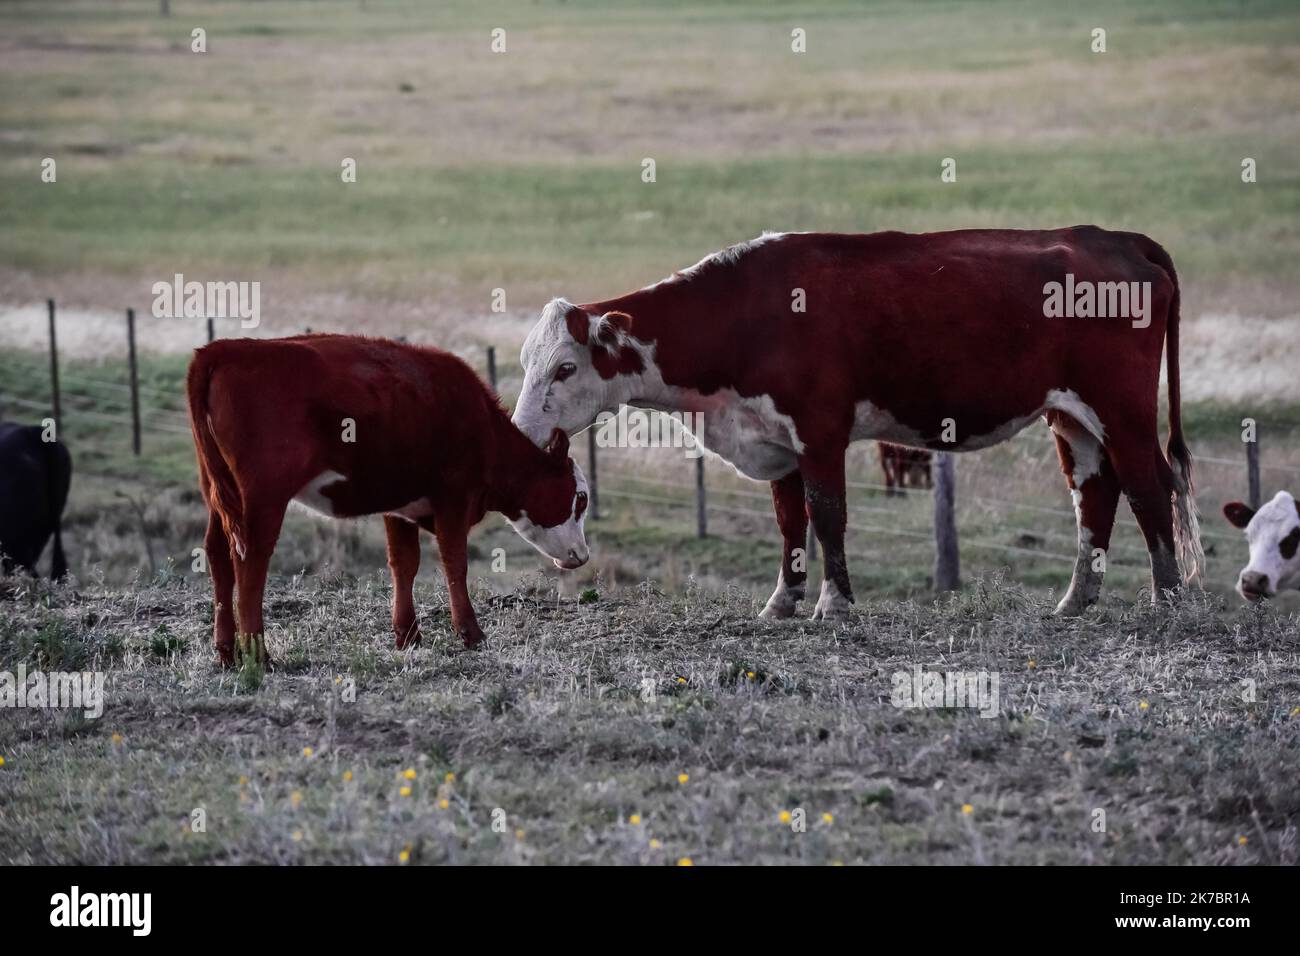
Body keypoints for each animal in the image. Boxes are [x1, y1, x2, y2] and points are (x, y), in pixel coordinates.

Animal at [187, 335, 590, 667]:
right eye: (581, 498)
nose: (582, 556)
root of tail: (223, 350)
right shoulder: (453, 498)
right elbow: (454, 563)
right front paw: (470, 632)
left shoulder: (401, 507)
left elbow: (404, 565)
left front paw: (407, 635)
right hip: (263, 498)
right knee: (250, 562)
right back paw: (258, 654)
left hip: (220, 496)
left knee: (219, 557)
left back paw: (226, 652)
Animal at [512, 228, 1203, 620]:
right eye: (525, 362)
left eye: (565, 367)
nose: (522, 433)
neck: (749, 313)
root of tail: (1116, 237)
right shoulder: (776, 440)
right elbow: (791, 522)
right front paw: (782, 603)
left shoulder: (821, 432)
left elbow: (827, 515)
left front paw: (835, 604)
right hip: (1072, 418)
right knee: (1096, 496)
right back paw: (1076, 601)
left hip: (1122, 411)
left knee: (1148, 488)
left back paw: (1166, 599)